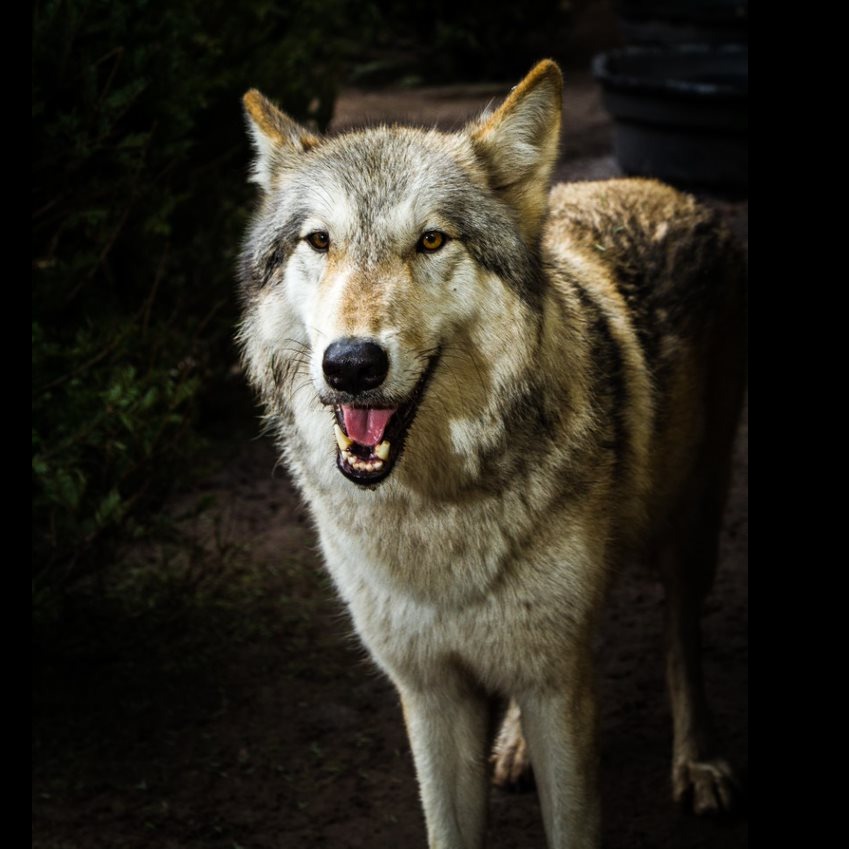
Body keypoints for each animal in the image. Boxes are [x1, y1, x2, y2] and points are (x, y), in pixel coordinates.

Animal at [237, 60, 746, 849]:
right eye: (319, 241)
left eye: (431, 241)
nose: (351, 365)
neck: (433, 510)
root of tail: (663, 187)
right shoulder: (430, 694)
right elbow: (450, 825)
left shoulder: (558, 684)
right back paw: (513, 746)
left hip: (691, 526)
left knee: (682, 644)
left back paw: (699, 761)